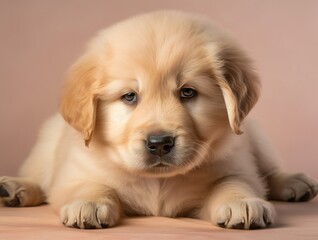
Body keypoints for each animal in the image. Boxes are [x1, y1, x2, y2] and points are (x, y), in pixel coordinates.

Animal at [0, 10, 318, 229]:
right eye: (129, 97)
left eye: (188, 92)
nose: (160, 143)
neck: (158, 181)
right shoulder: (75, 170)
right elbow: (85, 184)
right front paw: (88, 203)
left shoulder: (236, 161)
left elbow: (234, 181)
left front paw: (242, 203)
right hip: (48, 140)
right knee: (39, 177)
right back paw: (14, 188)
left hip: (256, 135)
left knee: (269, 170)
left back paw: (294, 182)